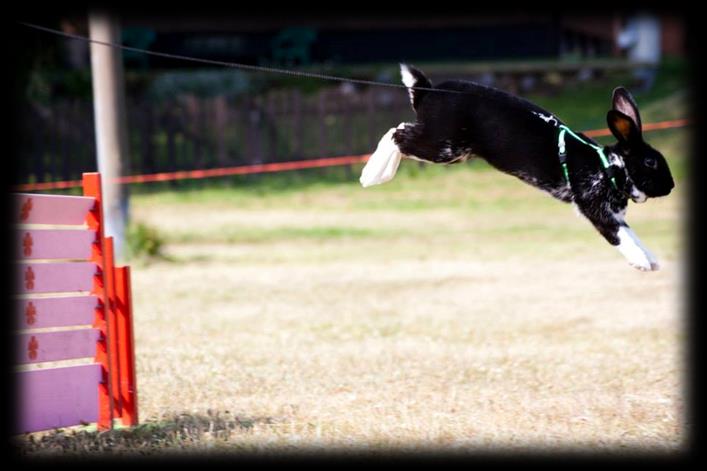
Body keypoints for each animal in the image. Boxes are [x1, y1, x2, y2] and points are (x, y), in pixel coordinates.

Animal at [362, 66, 676, 272]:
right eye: (651, 162)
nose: (671, 186)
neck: (609, 166)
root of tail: (427, 91)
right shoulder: (596, 209)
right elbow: (620, 236)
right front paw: (643, 263)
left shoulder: (612, 213)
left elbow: (631, 233)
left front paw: (652, 259)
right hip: (442, 146)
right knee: (397, 134)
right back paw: (373, 174)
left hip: (451, 150)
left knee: (400, 131)